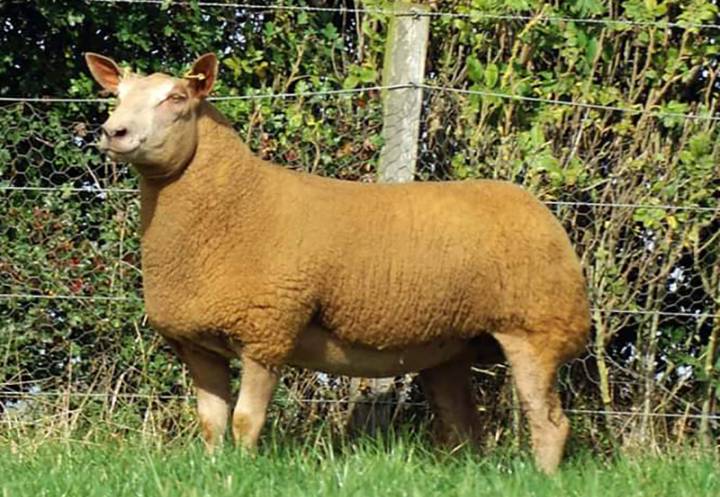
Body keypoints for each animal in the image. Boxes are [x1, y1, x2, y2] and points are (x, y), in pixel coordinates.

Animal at [86, 51, 592, 472]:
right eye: (117, 96)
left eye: (176, 98)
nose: (113, 132)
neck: (235, 202)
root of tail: (539, 208)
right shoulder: (198, 343)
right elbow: (212, 424)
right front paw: (214, 472)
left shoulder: (268, 330)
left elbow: (246, 421)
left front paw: (240, 473)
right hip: (452, 346)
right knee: (461, 427)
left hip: (536, 329)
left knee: (550, 422)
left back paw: (544, 478)